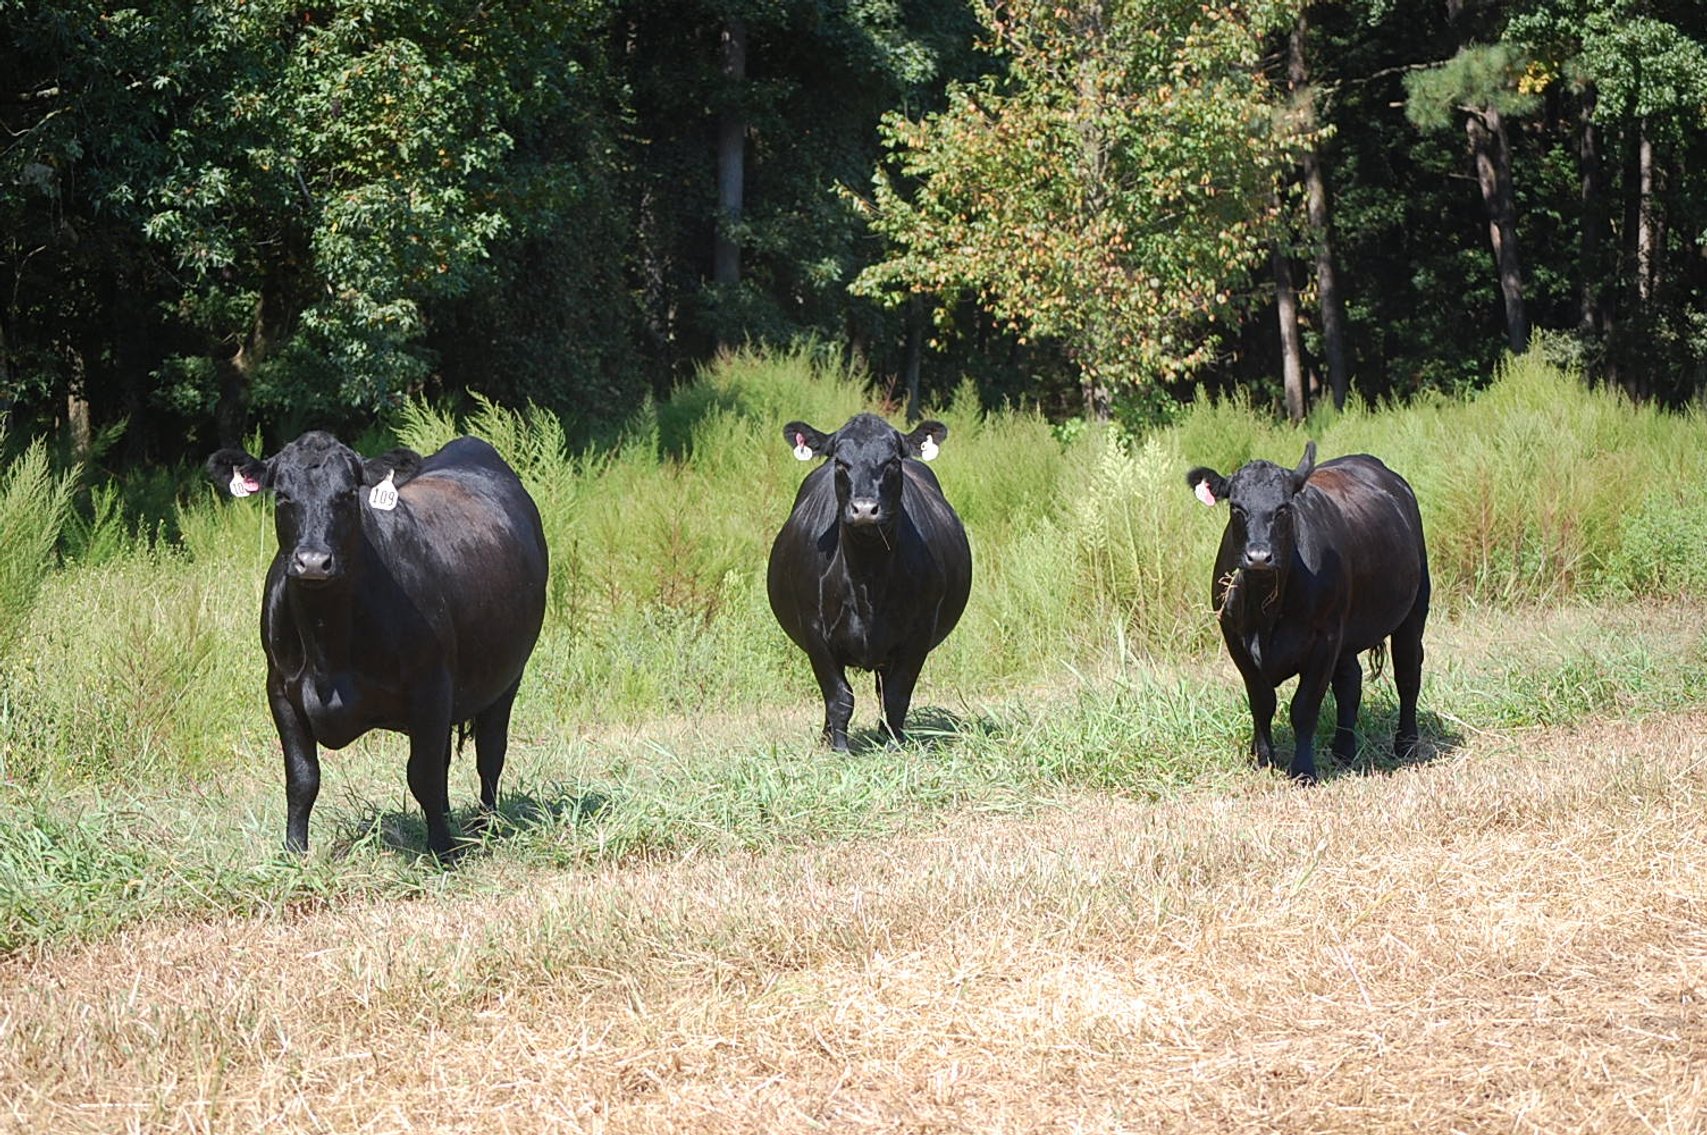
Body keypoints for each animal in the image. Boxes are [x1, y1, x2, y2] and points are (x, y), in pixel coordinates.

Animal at [207, 431, 548, 858]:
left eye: (348, 494)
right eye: (282, 495)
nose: (313, 561)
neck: (328, 644)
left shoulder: (430, 687)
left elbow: (423, 775)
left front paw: (443, 850)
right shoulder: (280, 690)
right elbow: (302, 778)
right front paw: (294, 852)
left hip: (507, 677)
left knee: (490, 754)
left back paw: (485, 826)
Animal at [767, 412, 972, 751]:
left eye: (892, 461)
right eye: (840, 462)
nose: (864, 509)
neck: (867, 577)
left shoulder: (919, 631)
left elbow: (896, 695)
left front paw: (893, 745)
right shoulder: (814, 630)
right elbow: (839, 697)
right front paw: (838, 749)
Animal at [1185, 441, 1429, 781]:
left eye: (1284, 508)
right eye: (1236, 508)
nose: (1258, 556)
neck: (1265, 611)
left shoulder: (1323, 639)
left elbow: (1303, 708)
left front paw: (1303, 770)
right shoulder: (1235, 639)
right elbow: (1261, 702)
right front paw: (1262, 759)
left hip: (1414, 609)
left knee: (1408, 674)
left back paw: (1405, 744)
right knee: (1350, 682)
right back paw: (1343, 750)